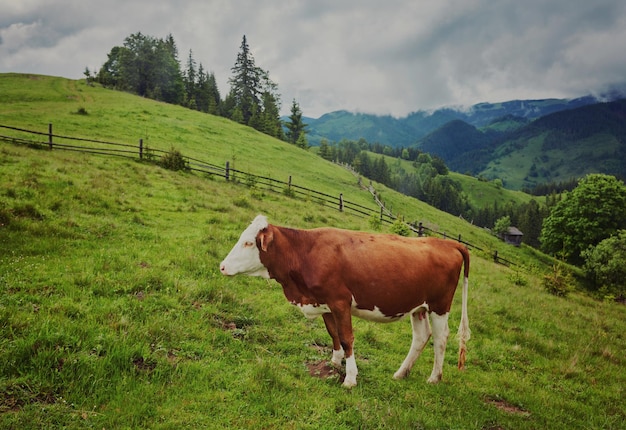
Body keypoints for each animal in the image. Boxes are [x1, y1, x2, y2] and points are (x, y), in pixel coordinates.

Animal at [219, 215, 468, 386]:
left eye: (248, 243)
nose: (222, 266)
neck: (306, 253)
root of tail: (448, 243)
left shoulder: (340, 301)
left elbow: (347, 338)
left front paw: (350, 377)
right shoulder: (324, 303)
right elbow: (334, 334)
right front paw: (335, 362)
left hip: (440, 305)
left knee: (441, 338)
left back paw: (434, 377)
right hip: (419, 307)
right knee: (421, 336)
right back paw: (400, 373)